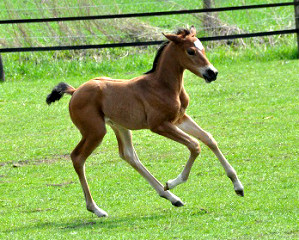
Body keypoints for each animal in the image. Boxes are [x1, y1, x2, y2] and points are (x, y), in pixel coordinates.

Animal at [46, 26, 244, 218]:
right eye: (190, 51)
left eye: (202, 48)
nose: (212, 73)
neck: (162, 85)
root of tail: (75, 91)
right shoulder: (159, 125)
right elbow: (195, 145)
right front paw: (172, 182)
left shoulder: (180, 118)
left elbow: (209, 139)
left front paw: (238, 186)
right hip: (95, 131)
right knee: (77, 158)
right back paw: (96, 209)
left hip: (119, 126)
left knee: (129, 155)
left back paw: (172, 198)